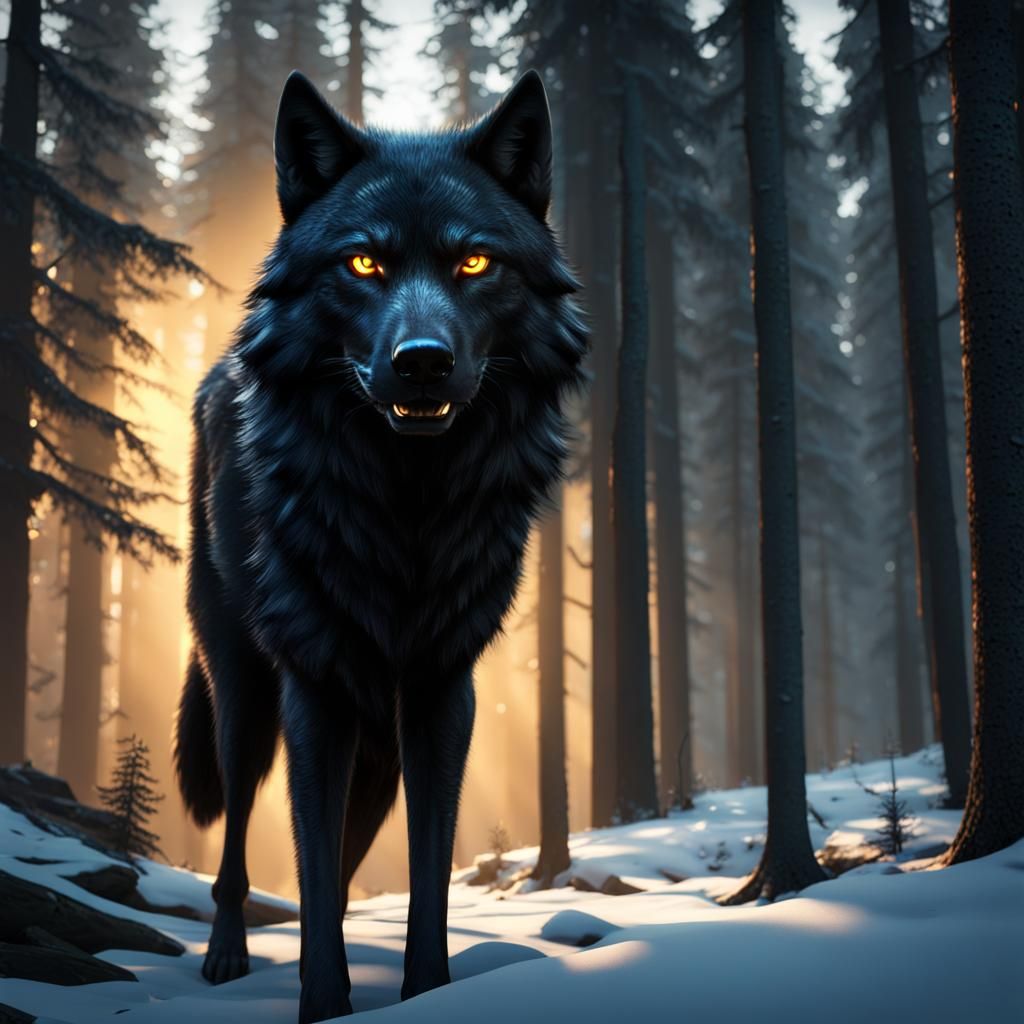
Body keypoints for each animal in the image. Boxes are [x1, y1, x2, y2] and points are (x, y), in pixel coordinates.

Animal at [174, 68, 586, 1022]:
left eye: (474, 262)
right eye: (364, 262)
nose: (422, 361)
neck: (408, 508)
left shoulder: (440, 693)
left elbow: (423, 879)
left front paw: (423, 994)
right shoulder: (313, 693)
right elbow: (310, 867)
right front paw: (322, 1002)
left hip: (380, 747)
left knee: (346, 861)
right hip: (245, 697)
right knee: (240, 840)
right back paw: (224, 957)